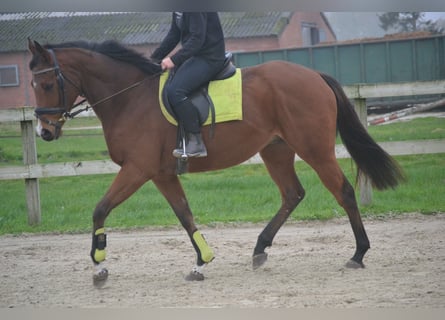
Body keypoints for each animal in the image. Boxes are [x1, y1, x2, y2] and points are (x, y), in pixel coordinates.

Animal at [26, 38, 402, 286]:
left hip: (315, 149)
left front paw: (100, 265)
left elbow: (100, 209)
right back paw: (260, 249)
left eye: (45, 83)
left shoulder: (137, 170)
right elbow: (184, 215)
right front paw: (201, 263)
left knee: (343, 191)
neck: (130, 98)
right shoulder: (161, 174)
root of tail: (313, 75)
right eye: (33, 83)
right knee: (293, 194)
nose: (45, 131)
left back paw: (358, 254)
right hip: (276, 150)